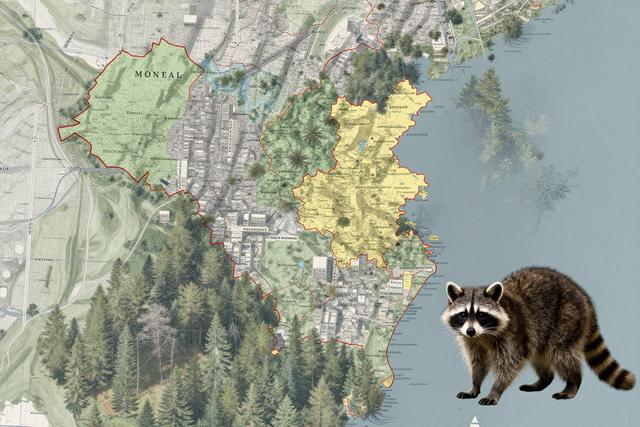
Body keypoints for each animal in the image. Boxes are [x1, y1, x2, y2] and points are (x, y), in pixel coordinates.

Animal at [441, 267, 635, 406]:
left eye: (481, 314)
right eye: (463, 314)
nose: (470, 331)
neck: (483, 335)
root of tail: (584, 297)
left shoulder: (512, 334)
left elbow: (509, 364)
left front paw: (495, 390)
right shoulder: (471, 342)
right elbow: (478, 362)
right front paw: (474, 385)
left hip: (567, 319)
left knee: (561, 354)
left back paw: (573, 382)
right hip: (540, 334)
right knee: (540, 356)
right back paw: (544, 379)